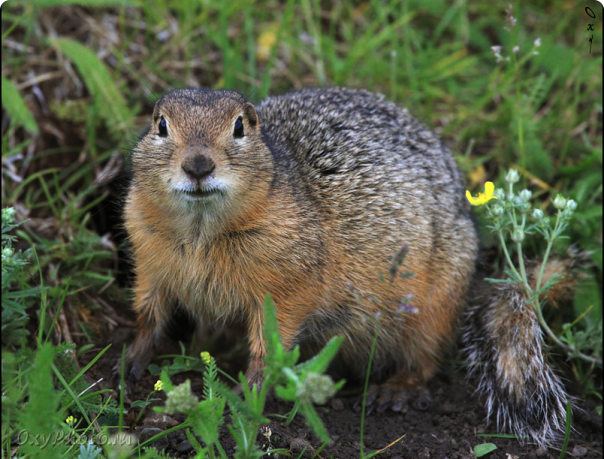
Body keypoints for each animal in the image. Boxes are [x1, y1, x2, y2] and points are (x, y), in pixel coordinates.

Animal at [124, 85, 572, 446]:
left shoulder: (287, 285)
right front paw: (130, 363)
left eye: (239, 127)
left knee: (426, 359)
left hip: (435, 305)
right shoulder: (149, 258)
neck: (200, 231)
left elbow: (271, 342)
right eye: (161, 125)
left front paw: (248, 391)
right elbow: (148, 312)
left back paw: (395, 391)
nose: (198, 166)